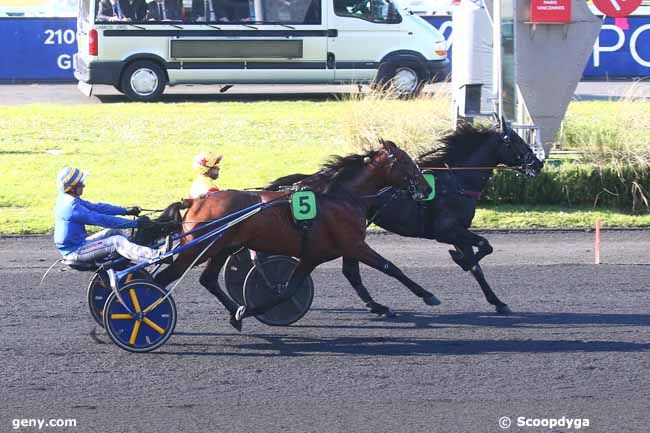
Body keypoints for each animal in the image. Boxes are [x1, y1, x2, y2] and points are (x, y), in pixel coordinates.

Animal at [154, 140, 432, 330]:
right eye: (407, 162)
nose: (426, 188)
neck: (341, 197)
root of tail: (195, 201)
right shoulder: (351, 246)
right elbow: (390, 267)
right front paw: (428, 295)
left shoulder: (335, 250)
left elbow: (345, 277)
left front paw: (378, 306)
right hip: (197, 248)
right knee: (164, 278)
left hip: (223, 247)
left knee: (208, 280)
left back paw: (232, 310)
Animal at [266, 123, 544, 316]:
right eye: (517, 142)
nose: (538, 164)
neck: (456, 182)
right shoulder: (447, 231)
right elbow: (485, 246)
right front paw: (460, 261)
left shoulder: (458, 232)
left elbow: (478, 267)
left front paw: (498, 302)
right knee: (349, 270)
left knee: (350, 271)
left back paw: (376, 305)